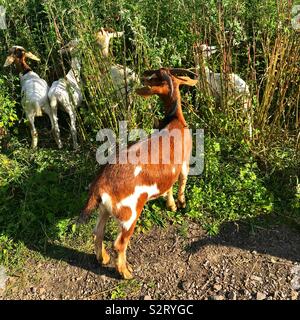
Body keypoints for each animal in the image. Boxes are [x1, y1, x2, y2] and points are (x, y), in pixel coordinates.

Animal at [78, 68, 198, 280]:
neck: (174, 119)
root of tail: (100, 186)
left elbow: (167, 187)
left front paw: (171, 205)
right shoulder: (184, 162)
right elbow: (182, 182)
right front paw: (181, 204)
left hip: (105, 210)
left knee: (97, 231)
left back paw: (103, 258)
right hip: (130, 214)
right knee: (119, 244)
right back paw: (125, 272)